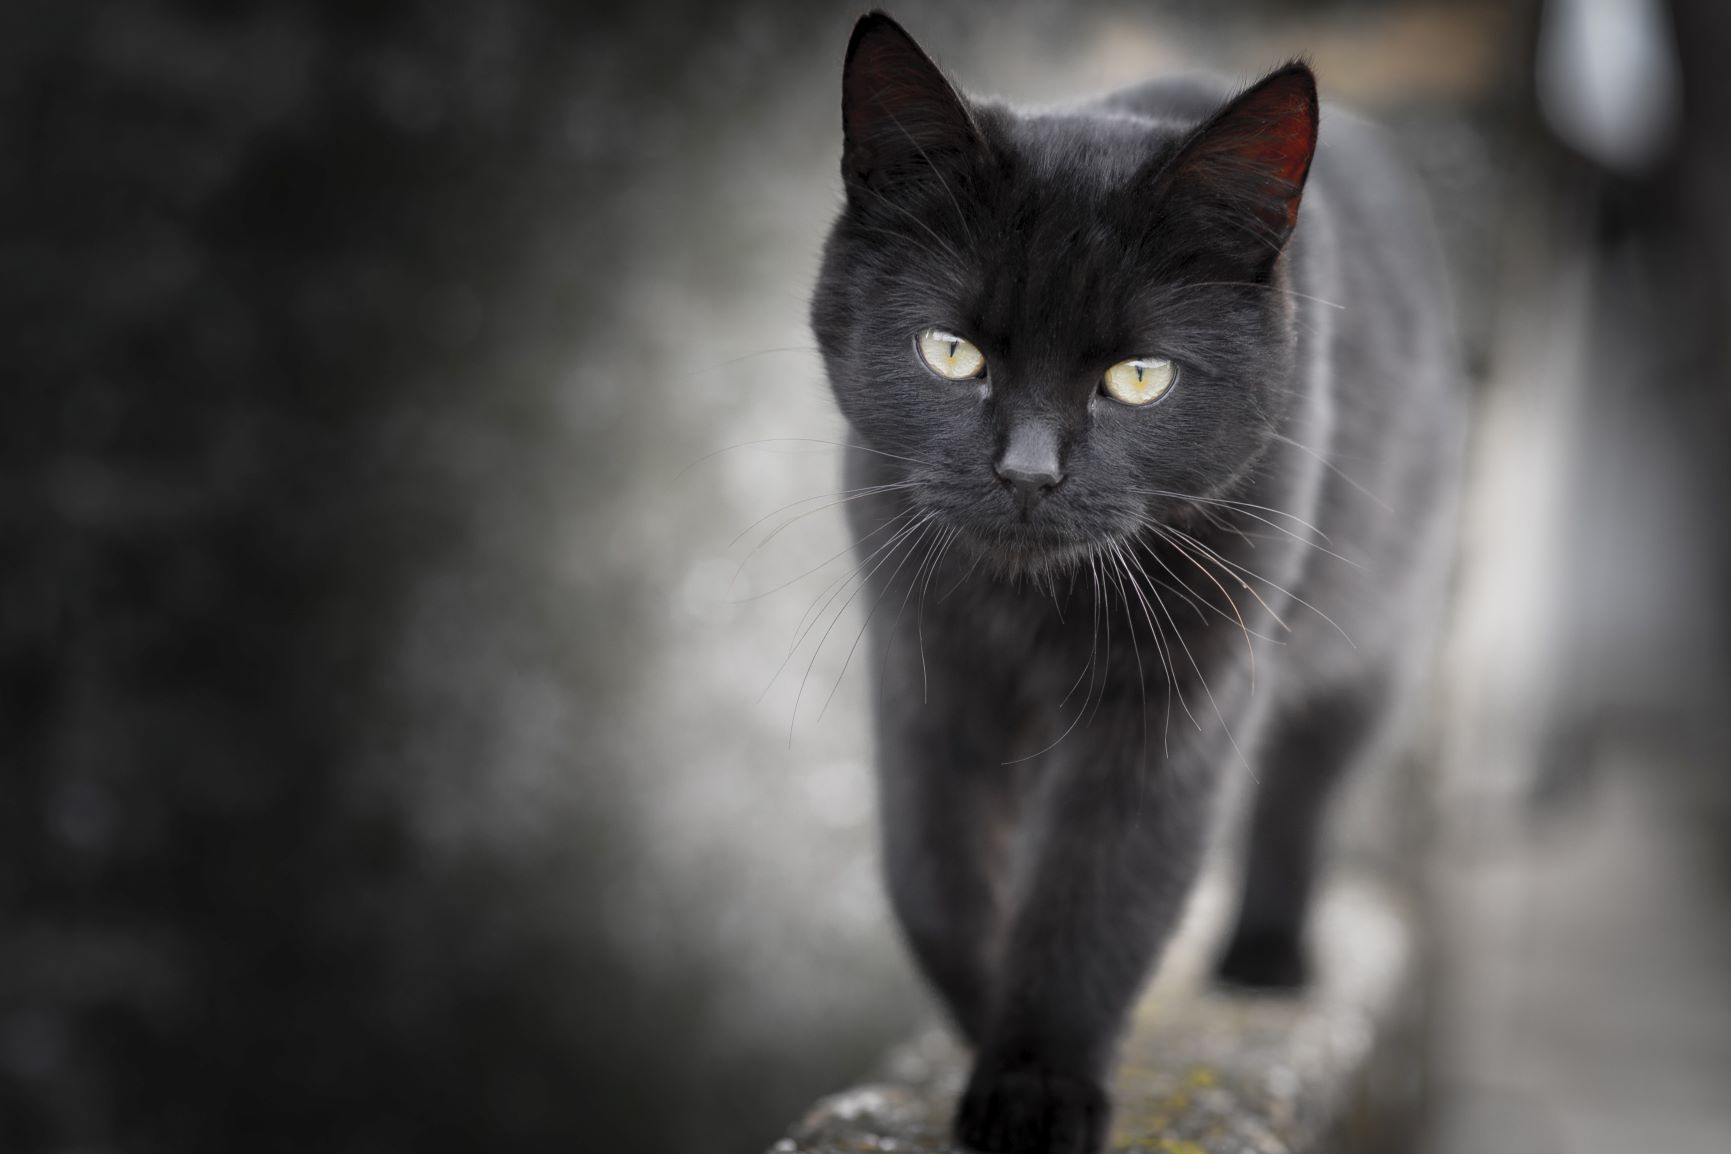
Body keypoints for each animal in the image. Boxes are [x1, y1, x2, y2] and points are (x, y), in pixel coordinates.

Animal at [810, 11, 1460, 1154]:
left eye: (1139, 378)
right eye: (950, 352)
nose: (1027, 472)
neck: (1031, 602)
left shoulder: (1171, 700)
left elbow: (1096, 893)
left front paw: (1038, 1087)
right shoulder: (925, 667)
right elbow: (936, 875)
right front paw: (982, 1034)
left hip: (1376, 636)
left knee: (1304, 787)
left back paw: (1266, 956)